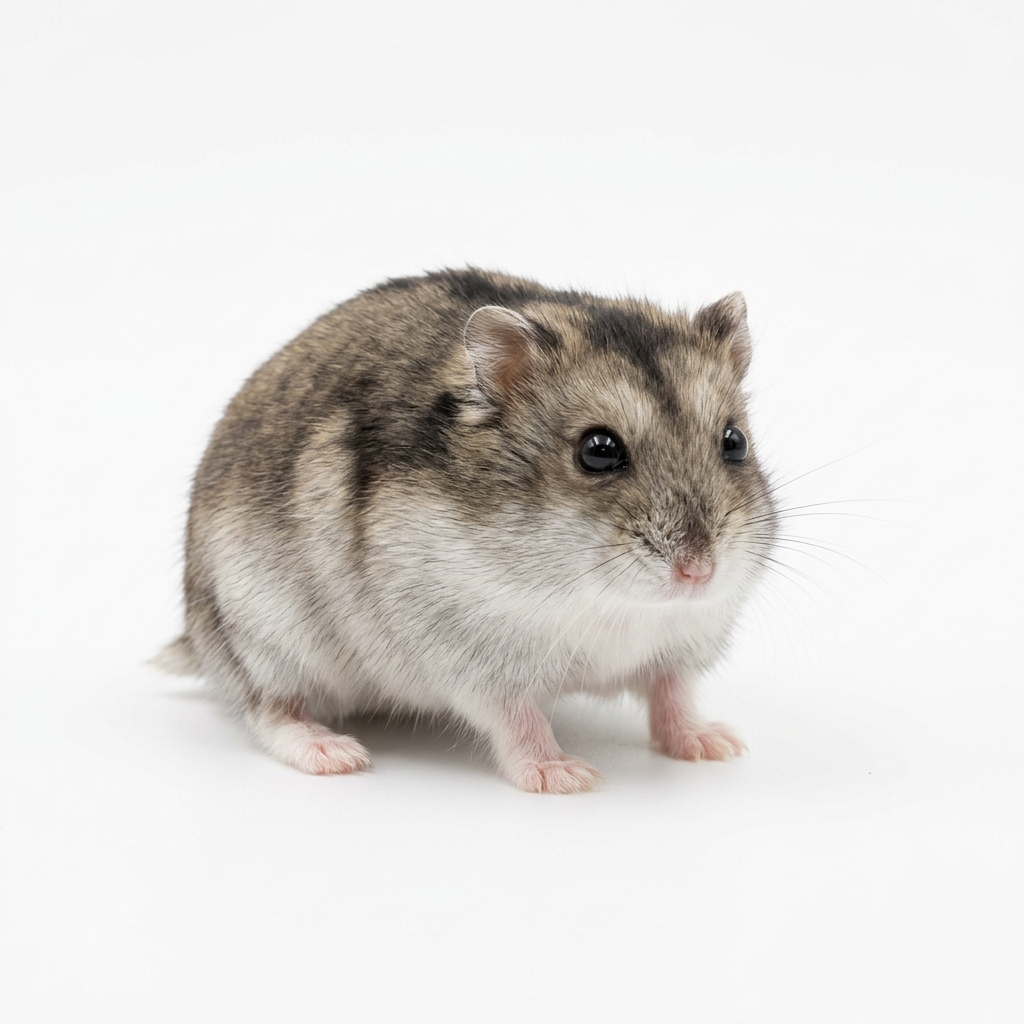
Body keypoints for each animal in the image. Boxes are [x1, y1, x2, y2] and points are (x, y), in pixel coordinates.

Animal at [158, 269, 777, 793]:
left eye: (734, 441)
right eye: (598, 451)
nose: (698, 573)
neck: (612, 603)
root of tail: (199, 639)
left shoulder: (680, 645)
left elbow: (673, 695)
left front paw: (718, 745)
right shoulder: (474, 659)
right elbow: (518, 719)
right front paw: (566, 777)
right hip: (265, 639)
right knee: (269, 710)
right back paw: (336, 754)